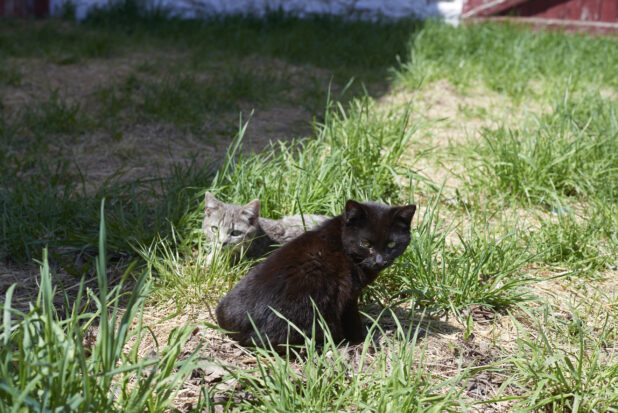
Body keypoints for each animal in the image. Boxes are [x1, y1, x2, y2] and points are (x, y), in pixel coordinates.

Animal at [215, 200, 414, 348]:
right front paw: (361, 339)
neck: (343, 243)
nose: (380, 260)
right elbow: (352, 319)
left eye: (391, 244)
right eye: (365, 243)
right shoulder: (349, 295)